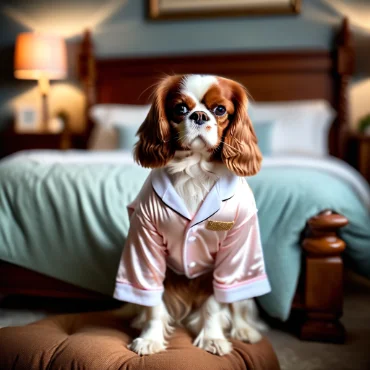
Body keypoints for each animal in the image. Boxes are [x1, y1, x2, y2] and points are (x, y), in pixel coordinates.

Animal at [114, 74, 270, 356]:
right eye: (180, 108)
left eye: (220, 110)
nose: (199, 116)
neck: (195, 169)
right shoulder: (145, 245)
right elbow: (153, 305)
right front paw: (150, 339)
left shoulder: (228, 258)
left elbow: (214, 305)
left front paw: (213, 338)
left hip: (244, 272)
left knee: (239, 304)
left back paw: (244, 330)